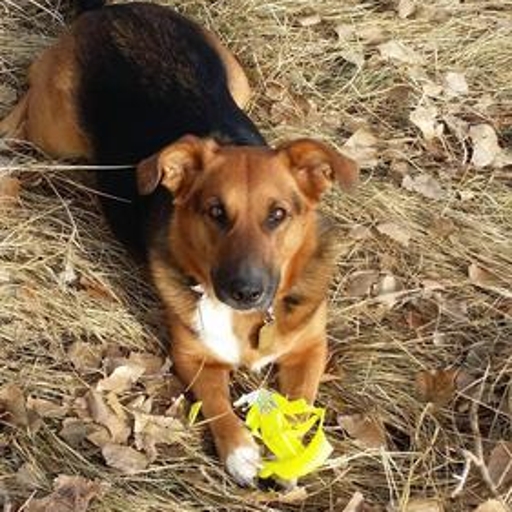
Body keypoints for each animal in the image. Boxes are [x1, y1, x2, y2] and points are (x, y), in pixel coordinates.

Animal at [0, 0, 358, 485]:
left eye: (278, 215)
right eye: (215, 212)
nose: (245, 291)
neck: (246, 321)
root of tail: (111, 9)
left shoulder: (309, 348)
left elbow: (300, 405)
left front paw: (289, 452)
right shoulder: (192, 358)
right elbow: (218, 405)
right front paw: (241, 452)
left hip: (238, 82)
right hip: (54, 136)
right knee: (25, 102)